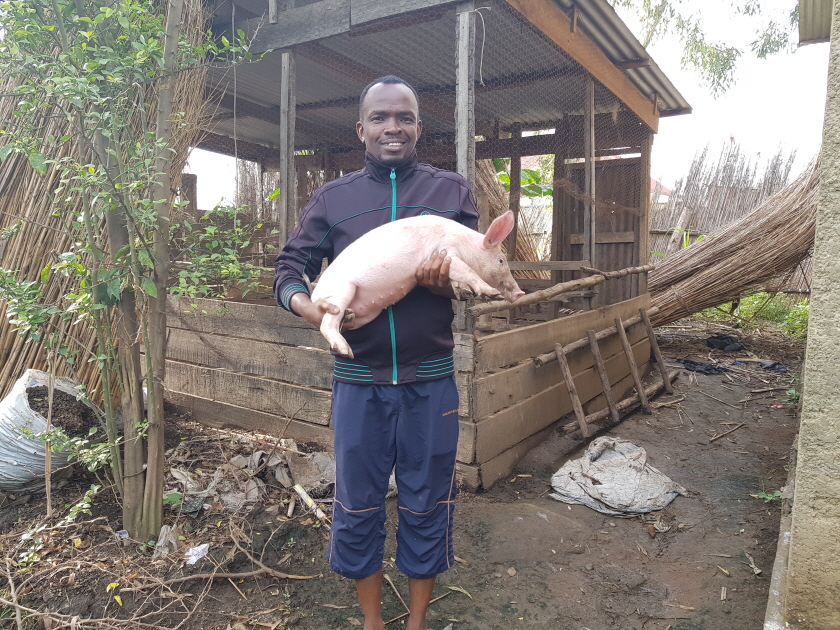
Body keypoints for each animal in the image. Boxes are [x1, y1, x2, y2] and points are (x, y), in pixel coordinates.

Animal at [310, 210, 525, 358]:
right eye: (501, 260)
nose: (520, 293)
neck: (466, 244)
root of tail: (314, 297)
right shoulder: (446, 251)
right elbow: (468, 270)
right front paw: (492, 293)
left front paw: (463, 291)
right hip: (342, 291)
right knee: (326, 324)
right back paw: (347, 351)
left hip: (368, 313)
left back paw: (349, 316)